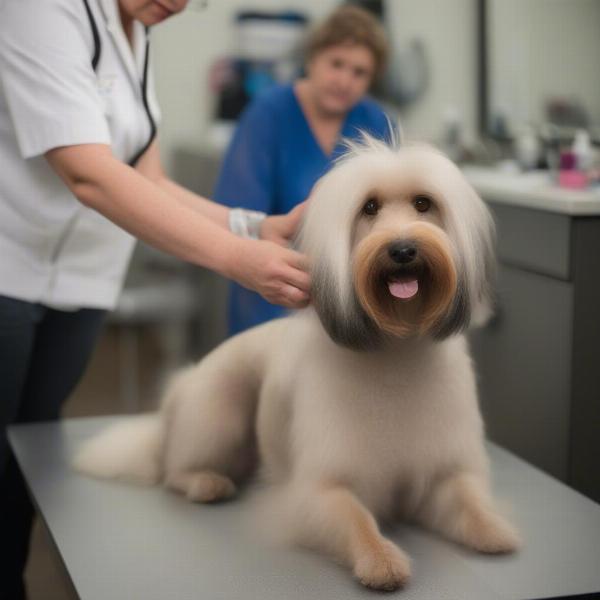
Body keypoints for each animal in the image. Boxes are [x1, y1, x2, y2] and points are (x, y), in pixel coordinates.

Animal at [75, 138, 520, 592]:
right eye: (370, 207)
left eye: (423, 203)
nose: (402, 249)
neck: (397, 348)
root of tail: (181, 389)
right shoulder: (321, 490)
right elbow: (356, 521)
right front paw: (380, 561)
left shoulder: (443, 473)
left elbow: (468, 501)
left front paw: (494, 528)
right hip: (219, 411)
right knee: (173, 470)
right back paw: (206, 482)